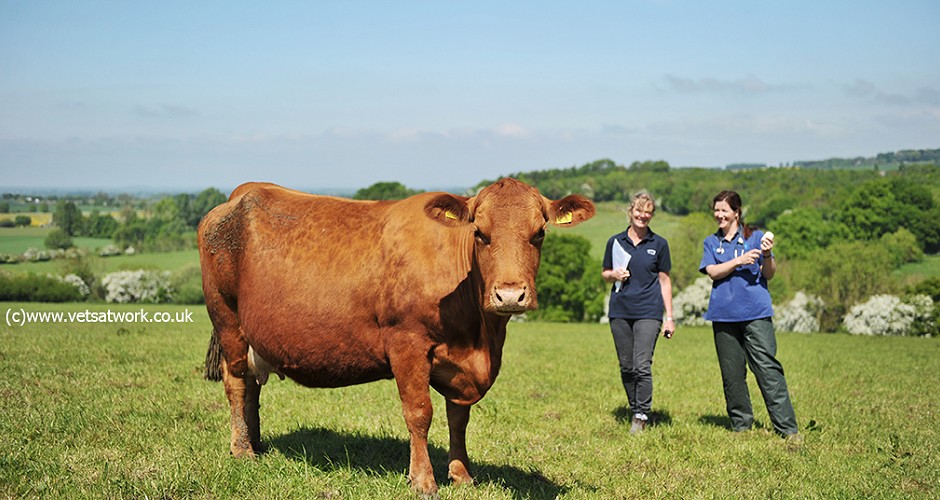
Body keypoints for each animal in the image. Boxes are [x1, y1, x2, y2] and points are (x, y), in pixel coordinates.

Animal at [199, 178, 596, 494]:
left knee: (252, 385)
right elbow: (419, 413)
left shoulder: (461, 366)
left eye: (539, 233)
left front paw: (461, 475)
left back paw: (257, 443)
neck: (481, 339)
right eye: (480, 233)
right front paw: (423, 480)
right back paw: (242, 450)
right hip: (227, 317)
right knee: (237, 381)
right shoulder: (407, 342)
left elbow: (458, 418)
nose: (510, 295)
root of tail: (243, 192)